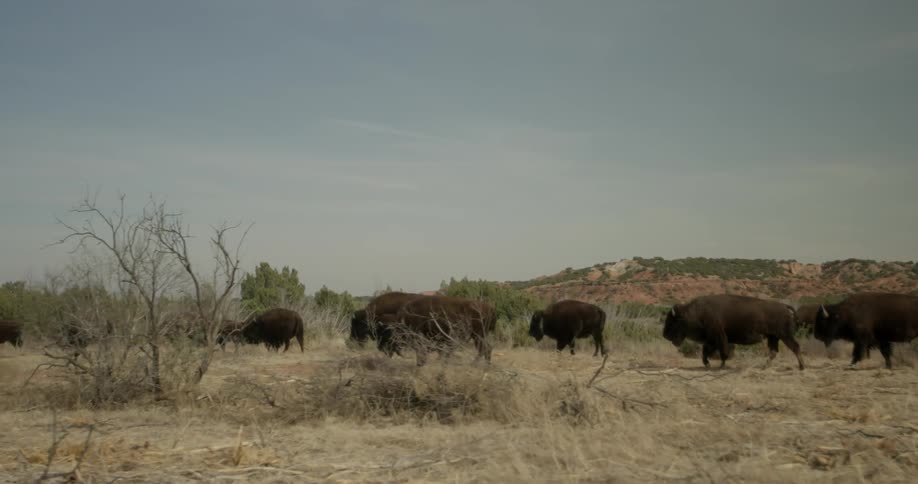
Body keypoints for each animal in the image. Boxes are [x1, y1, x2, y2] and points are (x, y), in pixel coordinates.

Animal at [664, 294, 804, 370]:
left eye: (673, 321)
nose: (664, 335)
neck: (697, 312)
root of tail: (784, 306)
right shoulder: (711, 340)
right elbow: (706, 352)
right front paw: (708, 365)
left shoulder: (718, 337)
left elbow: (723, 352)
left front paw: (720, 366)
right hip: (773, 337)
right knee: (774, 351)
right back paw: (764, 367)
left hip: (784, 335)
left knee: (795, 347)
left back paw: (802, 367)